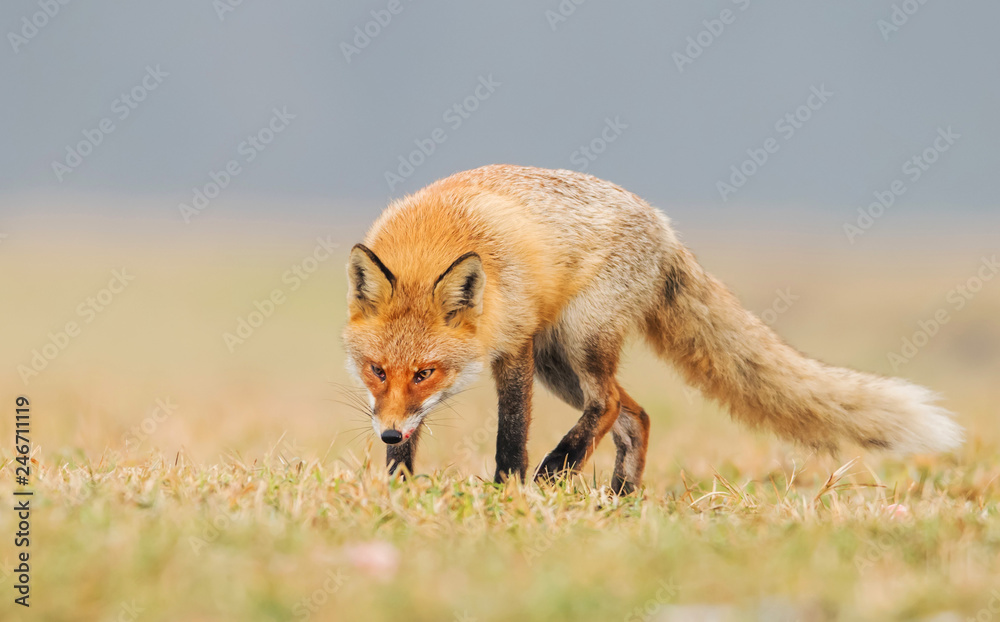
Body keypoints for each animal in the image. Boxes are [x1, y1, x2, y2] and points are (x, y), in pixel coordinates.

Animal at [342, 164, 963, 493]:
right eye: (376, 371)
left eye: (427, 372)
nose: (387, 434)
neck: (430, 242)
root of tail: (665, 229)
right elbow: (414, 440)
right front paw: (398, 487)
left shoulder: (513, 351)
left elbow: (510, 436)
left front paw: (508, 491)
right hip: (558, 364)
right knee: (634, 414)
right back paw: (621, 496)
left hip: (575, 342)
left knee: (610, 404)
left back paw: (559, 470)